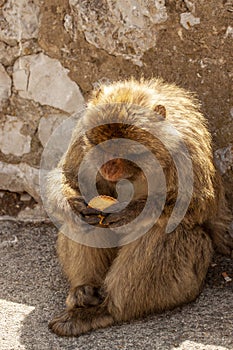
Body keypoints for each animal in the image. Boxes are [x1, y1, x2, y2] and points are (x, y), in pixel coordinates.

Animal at [46, 78, 233, 336]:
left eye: (125, 151)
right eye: (100, 146)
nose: (107, 167)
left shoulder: (187, 148)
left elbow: (199, 205)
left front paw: (131, 213)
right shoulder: (81, 135)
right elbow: (68, 177)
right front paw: (70, 205)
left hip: (189, 279)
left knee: (164, 232)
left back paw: (105, 310)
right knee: (84, 224)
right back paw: (85, 291)